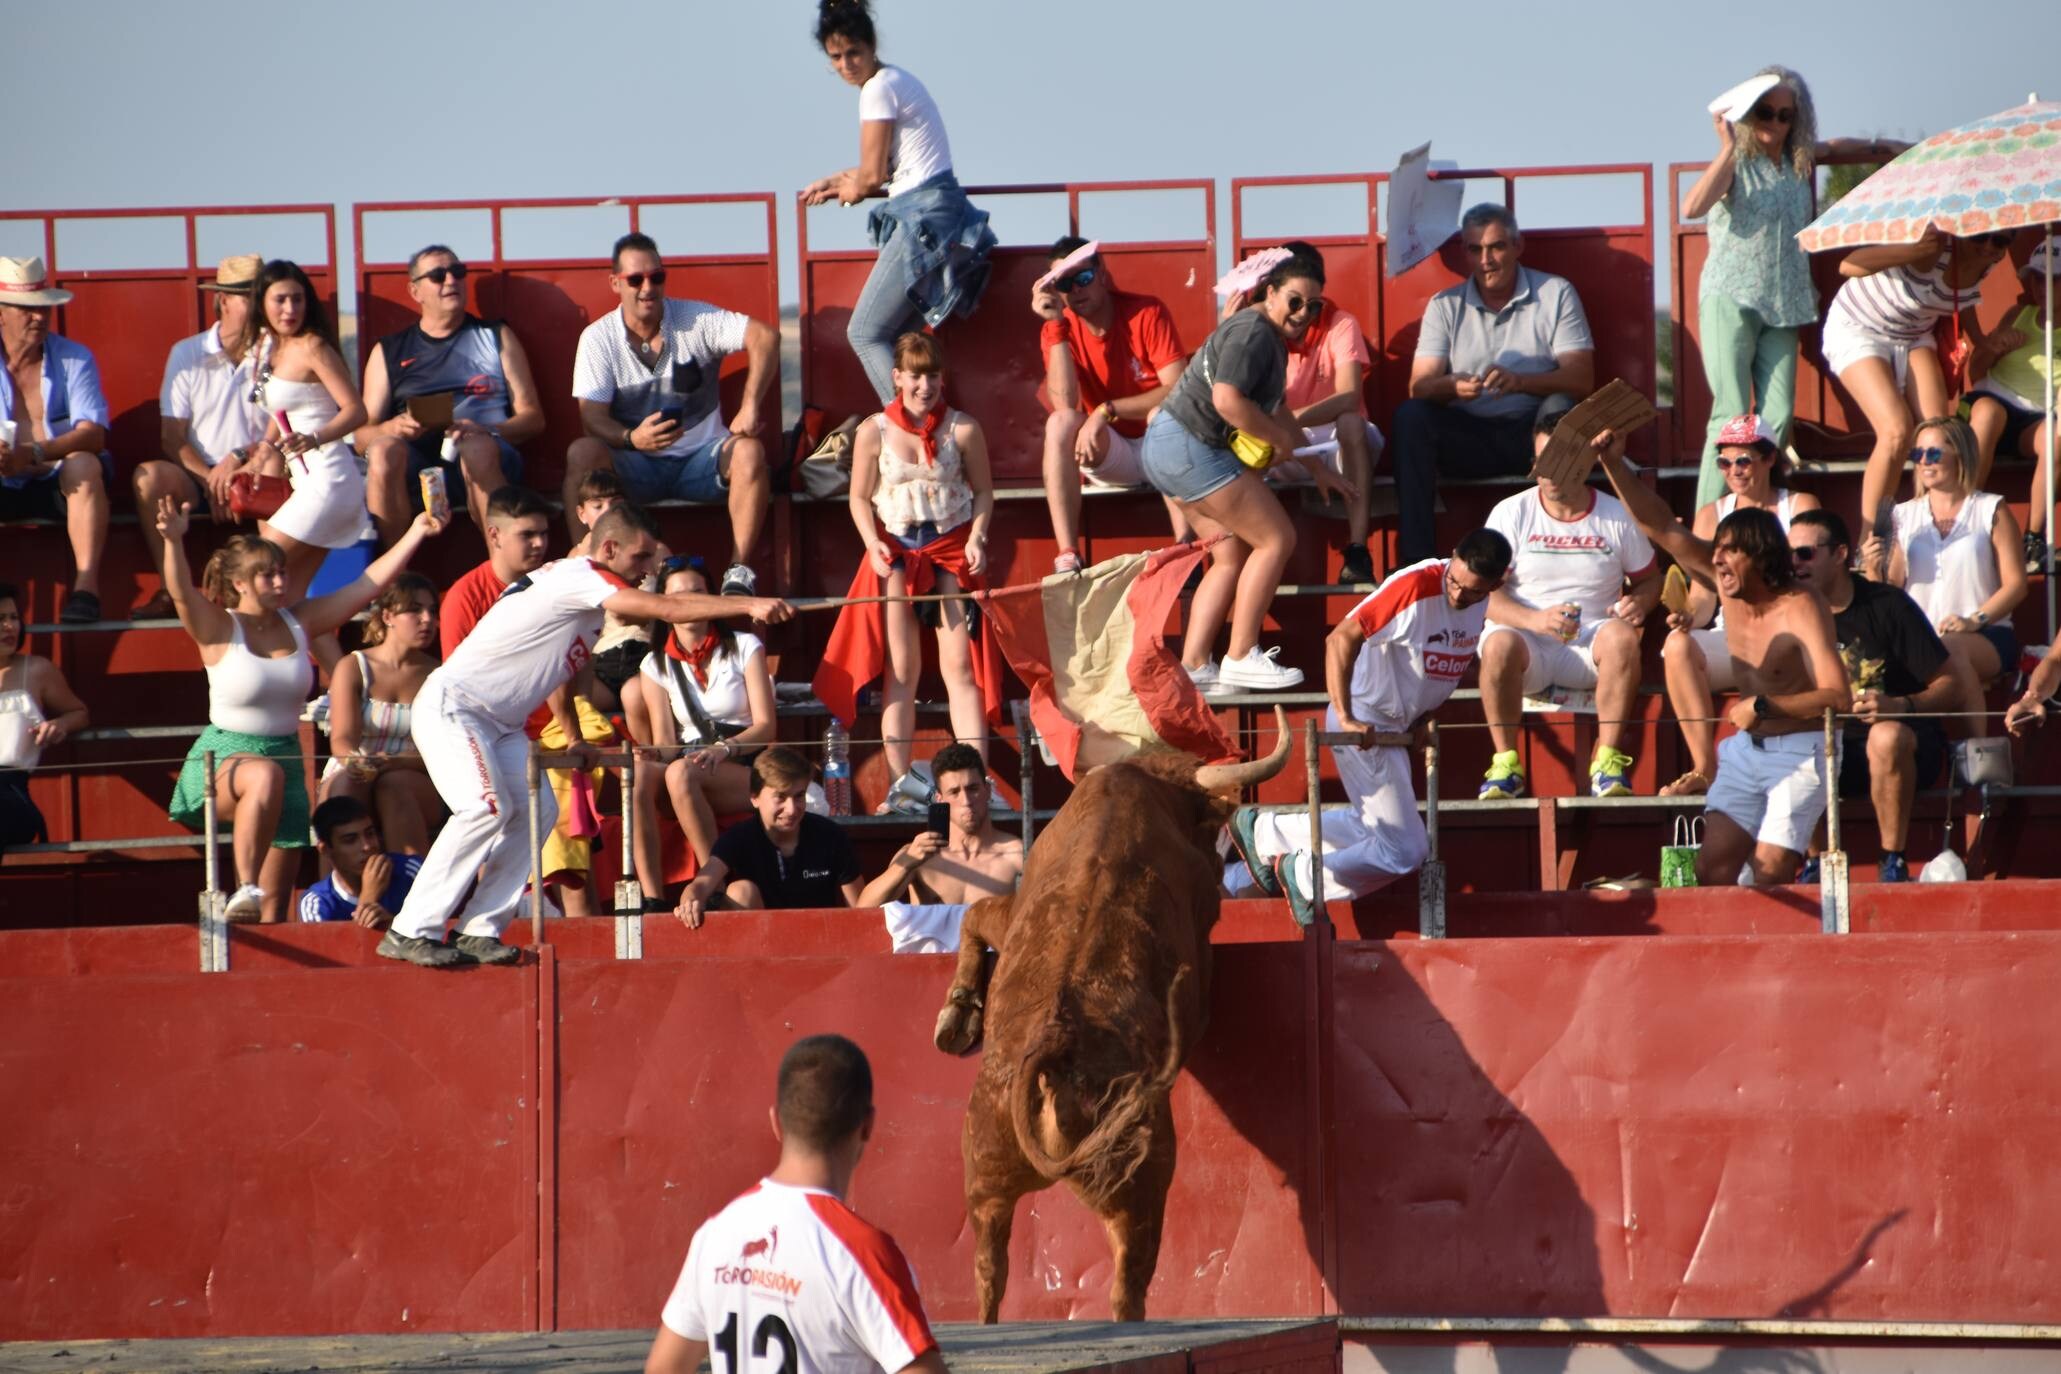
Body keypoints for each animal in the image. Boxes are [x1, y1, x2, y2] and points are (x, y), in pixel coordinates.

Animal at [935, 708, 1286, 1318]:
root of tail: (1053, 1050)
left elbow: (978, 911)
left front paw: (958, 1013)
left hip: (984, 1175)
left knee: (989, 1269)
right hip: (1141, 1183)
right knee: (1127, 1286)